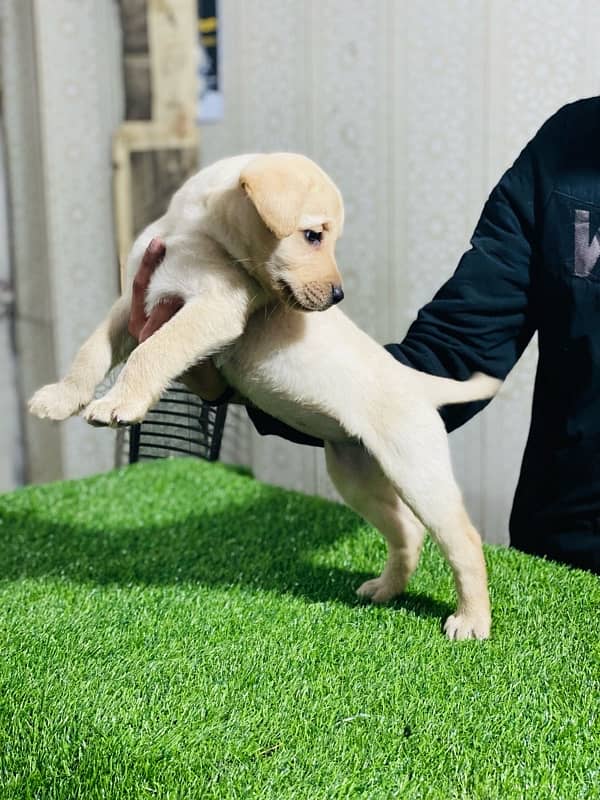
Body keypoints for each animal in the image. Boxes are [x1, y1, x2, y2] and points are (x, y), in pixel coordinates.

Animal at [31, 153, 502, 640]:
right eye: (313, 235)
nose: (338, 295)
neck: (191, 233)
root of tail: (415, 381)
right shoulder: (131, 304)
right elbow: (91, 351)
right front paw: (61, 397)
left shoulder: (214, 309)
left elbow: (153, 350)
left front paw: (118, 403)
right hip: (355, 474)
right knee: (407, 532)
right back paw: (385, 590)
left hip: (417, 472)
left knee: (463, 539)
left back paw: (471, 620)